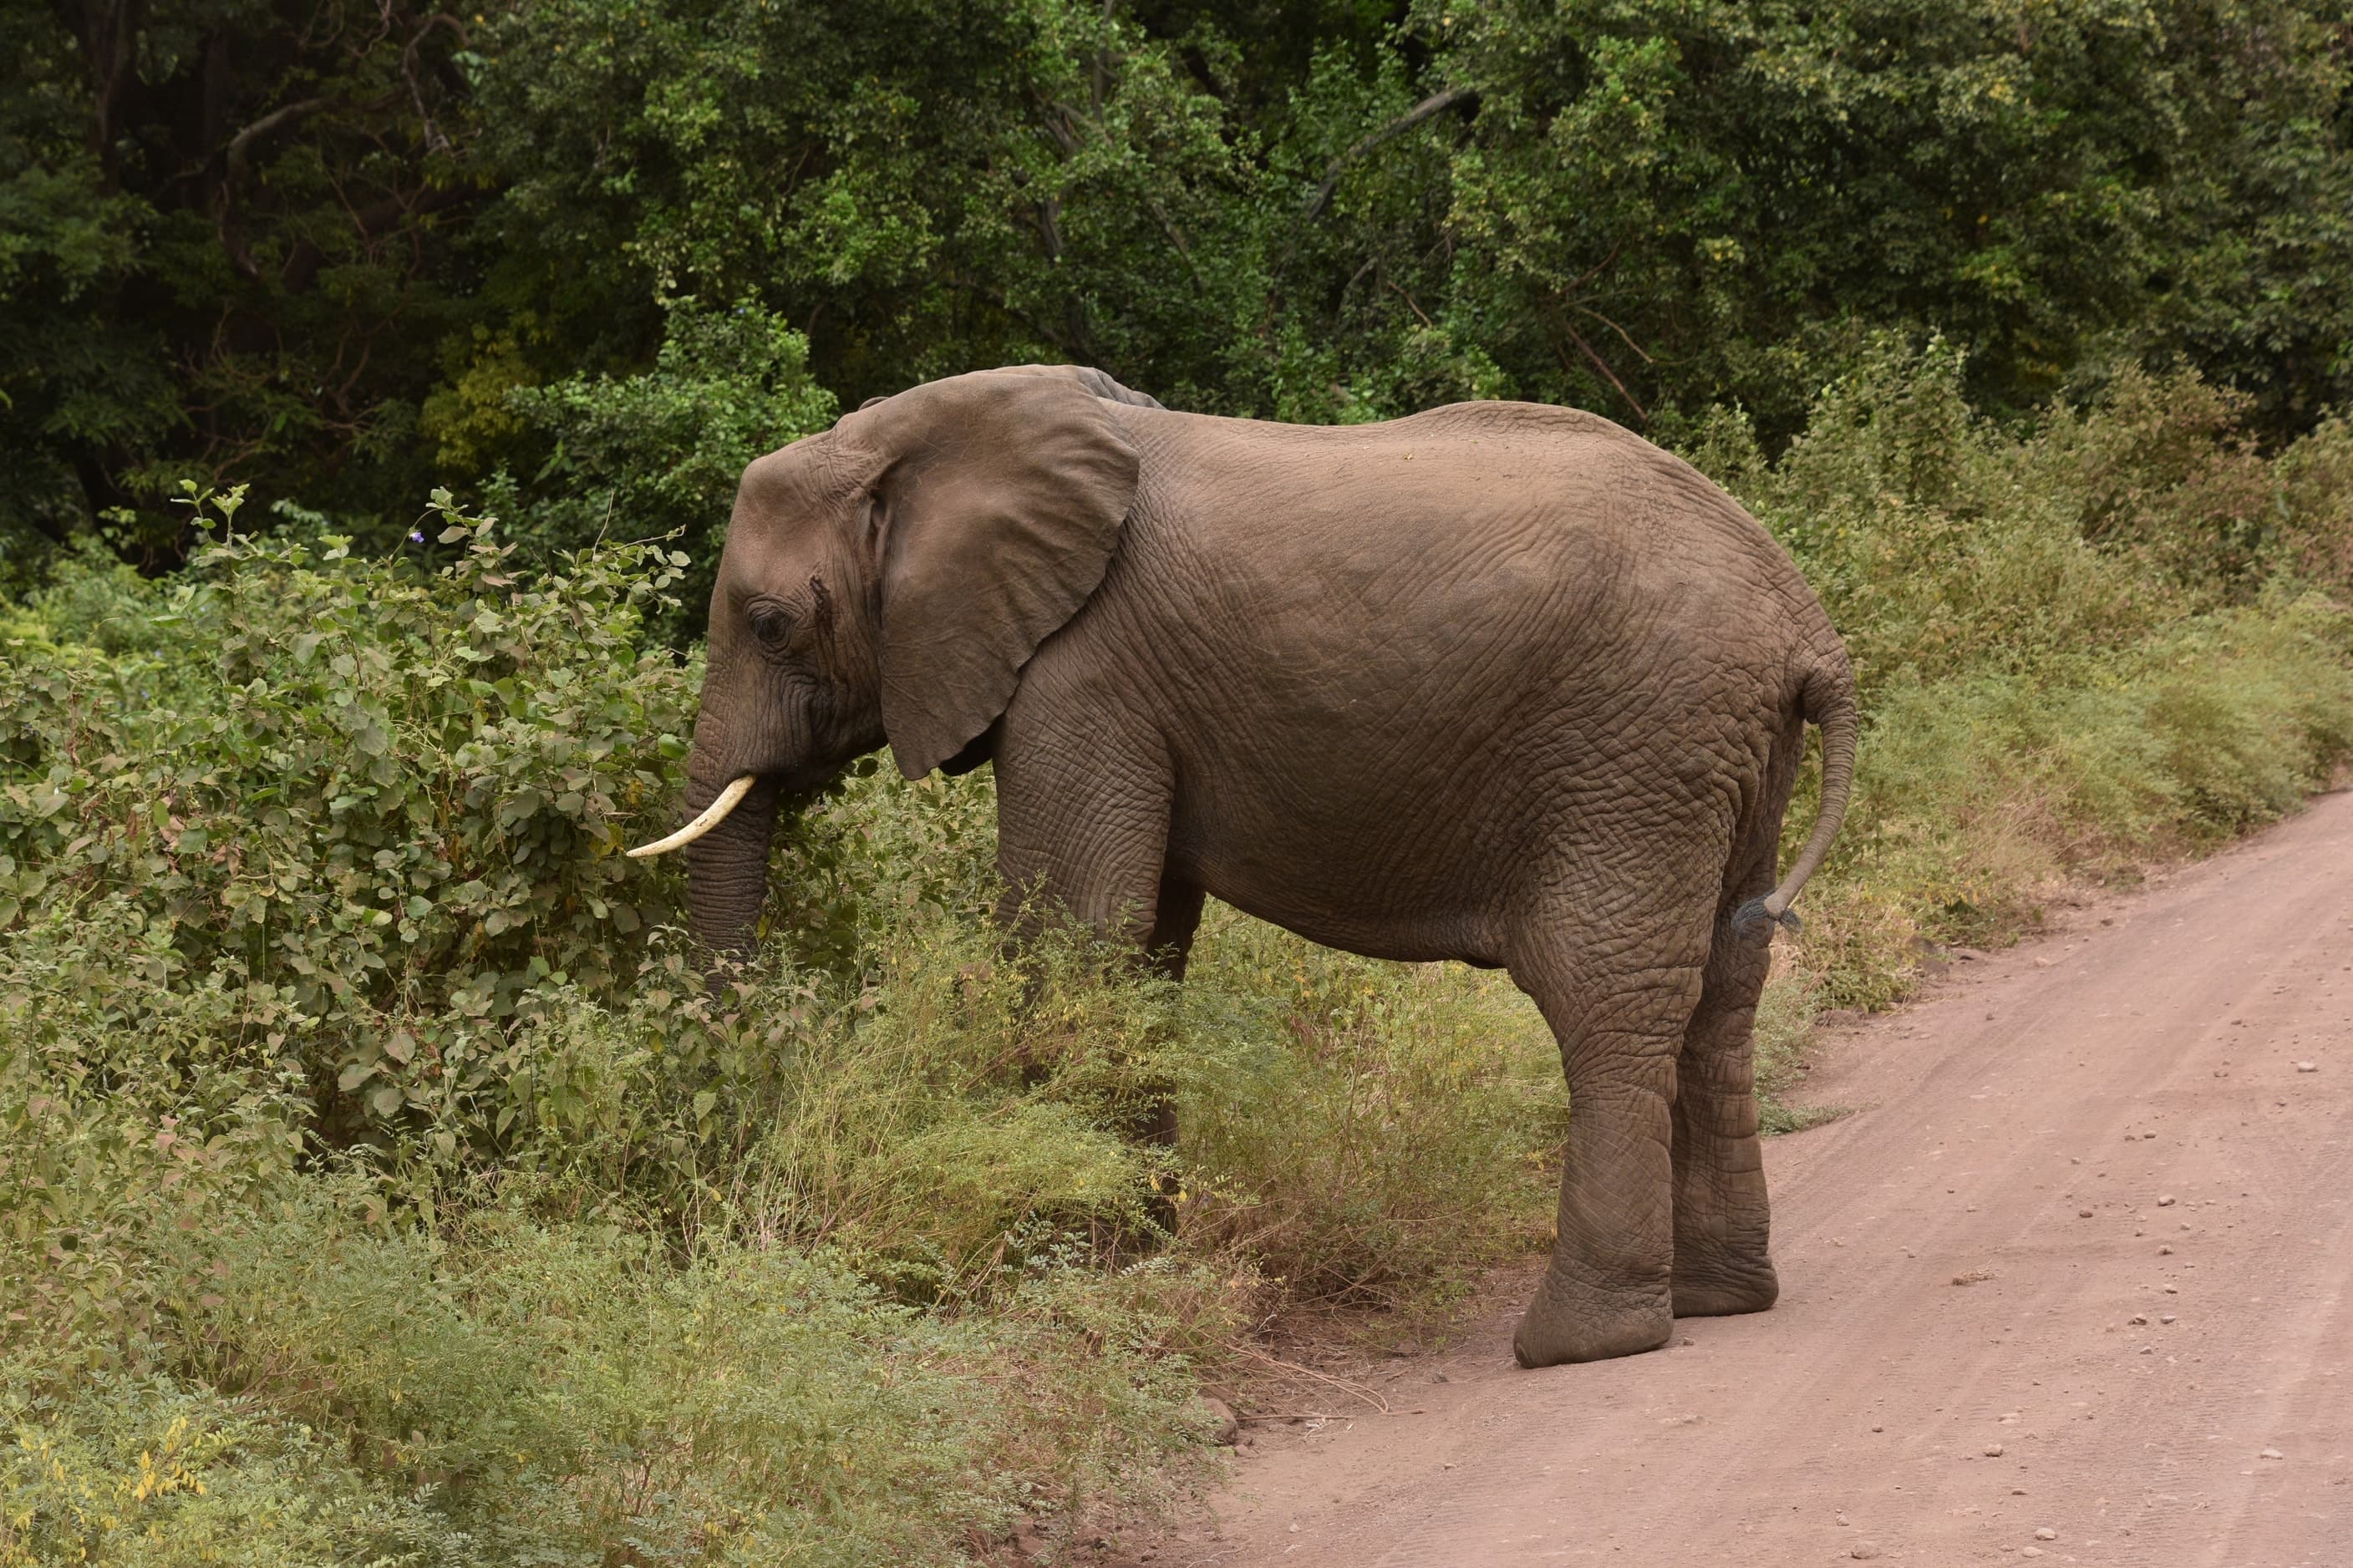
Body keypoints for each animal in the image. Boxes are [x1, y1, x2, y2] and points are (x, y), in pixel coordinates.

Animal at [628, 363, 1857, 1367]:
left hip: (1636, 749)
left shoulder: (1079, 673)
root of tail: (1806, 625)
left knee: (1604, 992)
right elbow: (1141, 953)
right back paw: (1716, 1301)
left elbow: (1071, 935)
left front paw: (1057, 1277)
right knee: (1722, 989)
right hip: (1722, 757)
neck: (929, 434)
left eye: (771, 624)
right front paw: (1137, 1268)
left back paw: (1576, 1341)